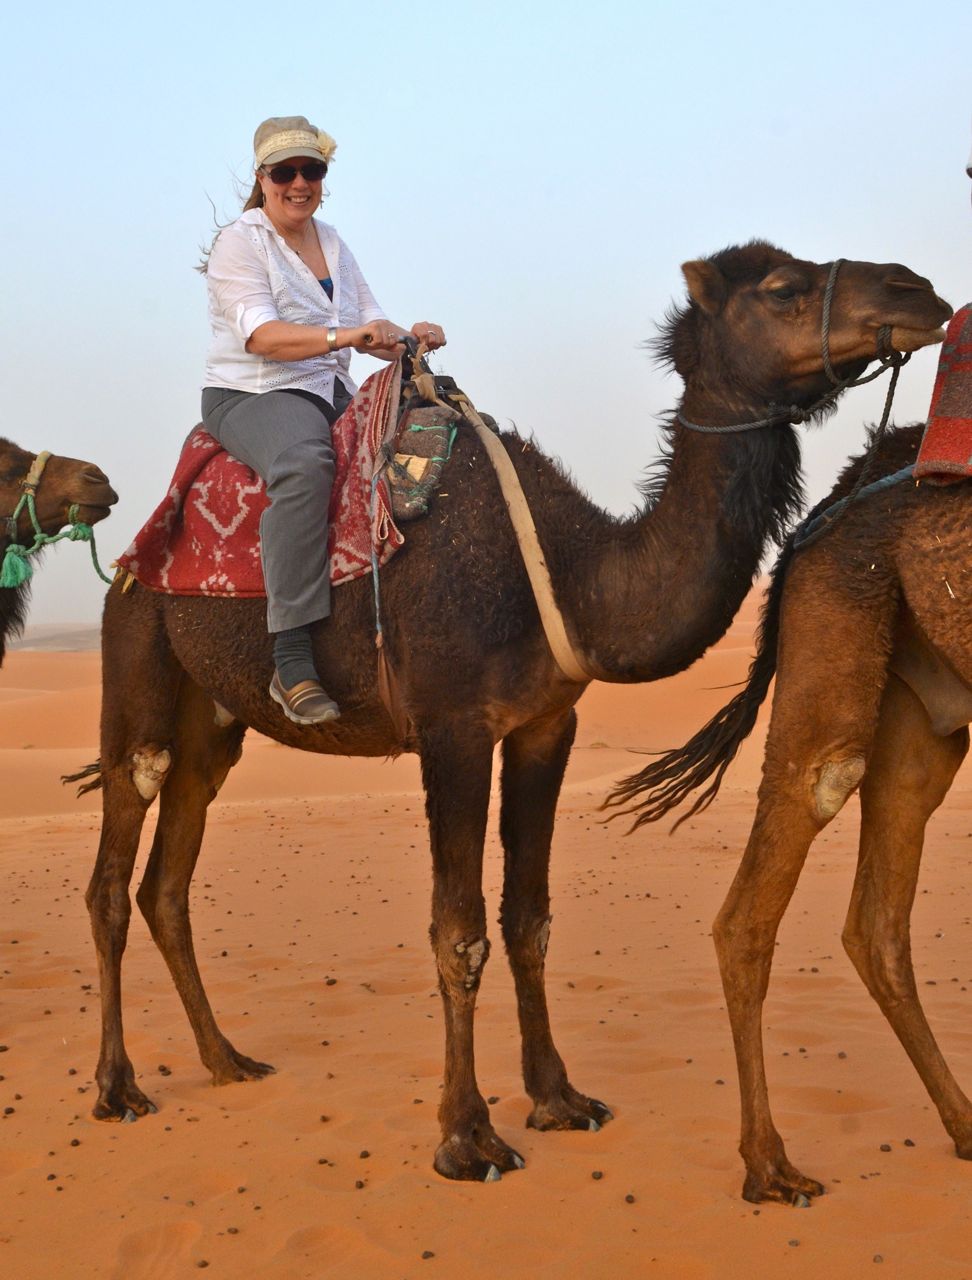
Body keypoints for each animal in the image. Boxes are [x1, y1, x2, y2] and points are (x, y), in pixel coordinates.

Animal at [609, 417, 972, 1198]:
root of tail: (818, 514)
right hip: (840, 612)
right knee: (810, 802)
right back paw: (769, 1162)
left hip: (920, 696)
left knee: (877, 919)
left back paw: (963, 1127)